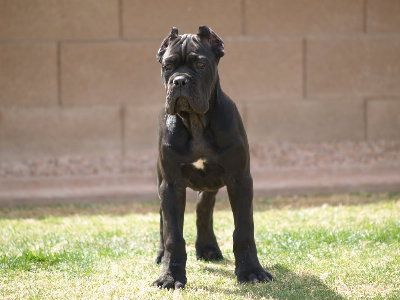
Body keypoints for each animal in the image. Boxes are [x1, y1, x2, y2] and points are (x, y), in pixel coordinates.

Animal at [153, 26, 272, 290]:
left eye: (200, 64)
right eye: (167, 65)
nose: (179, 80)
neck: (196, 122)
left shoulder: (240, 180)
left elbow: (244, 230)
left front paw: (251, 271)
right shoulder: (171, 184)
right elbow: (173, 234)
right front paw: (170, 276)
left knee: (203, 209)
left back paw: (208, 248)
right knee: (164, 221)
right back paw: (161, 255)